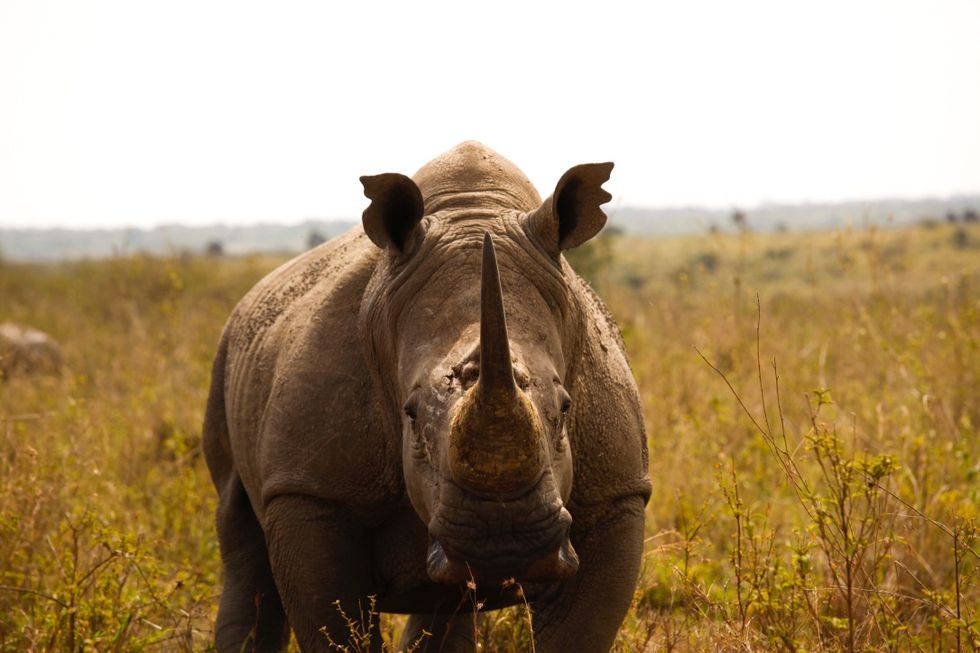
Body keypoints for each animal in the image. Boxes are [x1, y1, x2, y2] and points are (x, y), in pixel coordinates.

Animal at [203, 142, 651, 652]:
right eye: (410, 415)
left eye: (566, 407)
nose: (504, 543)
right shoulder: (307, 489)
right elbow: (334, 625)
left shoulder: (616, 494)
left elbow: (579, 631)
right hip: (226, 354)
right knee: (241, 544)